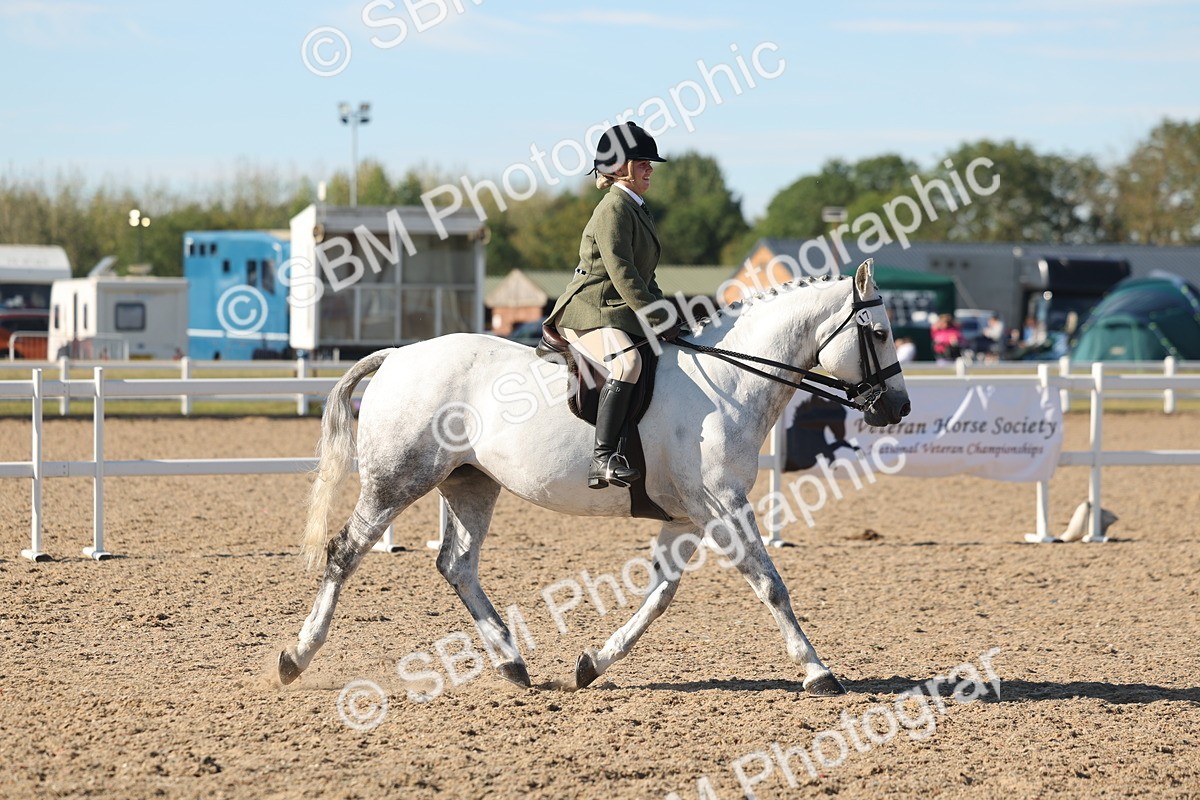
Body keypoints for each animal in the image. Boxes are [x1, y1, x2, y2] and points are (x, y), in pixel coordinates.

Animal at [278, 259, 910, 696]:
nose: (897, 407)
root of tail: (397, 354)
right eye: (878, 333)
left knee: (457, 564)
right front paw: (818, 671)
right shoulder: (723, 504)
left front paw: (591, 664)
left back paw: (512, 663)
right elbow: (770, 583)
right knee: (345, 552)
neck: (729, 384)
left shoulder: (687, 515)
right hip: (397, 480)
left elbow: (660, 595)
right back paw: (296, 658)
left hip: (470, 482)